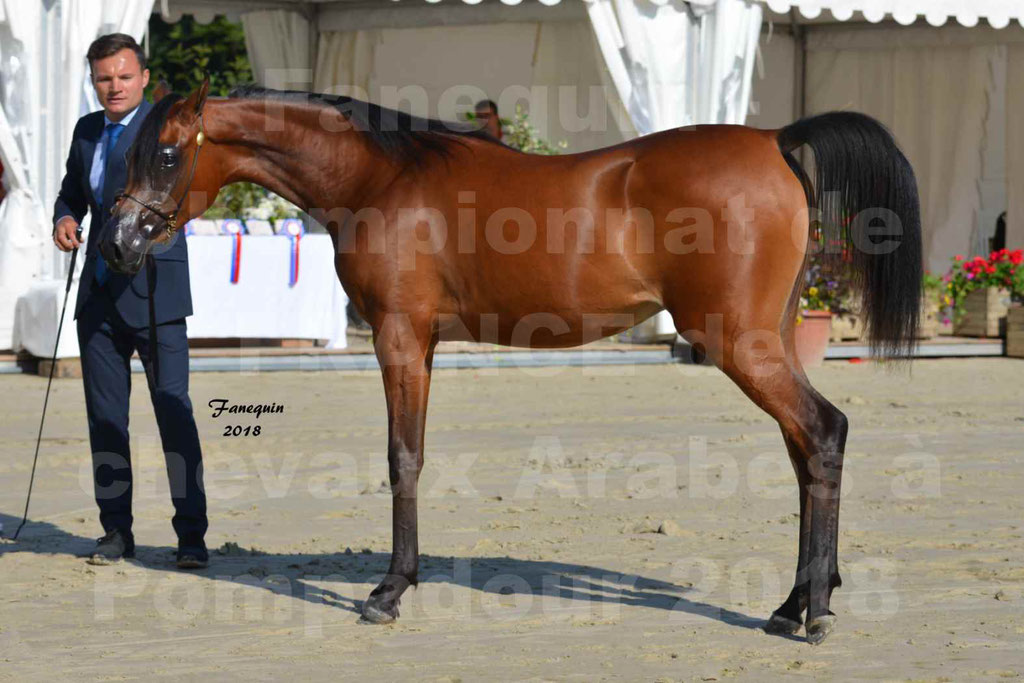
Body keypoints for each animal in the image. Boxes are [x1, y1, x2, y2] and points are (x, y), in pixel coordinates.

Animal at [101, 81, 921, 647]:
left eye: (166, 153)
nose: (116, 243)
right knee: (805, 449)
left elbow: (403, 458)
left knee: (823, 432)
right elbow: (411, 453)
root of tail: (776, 139)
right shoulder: (424, 343)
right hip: (767, 340)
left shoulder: (399, 336)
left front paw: (388, 591)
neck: (378, 178)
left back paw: (815, 612)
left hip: (738, 342)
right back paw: (793, 603)